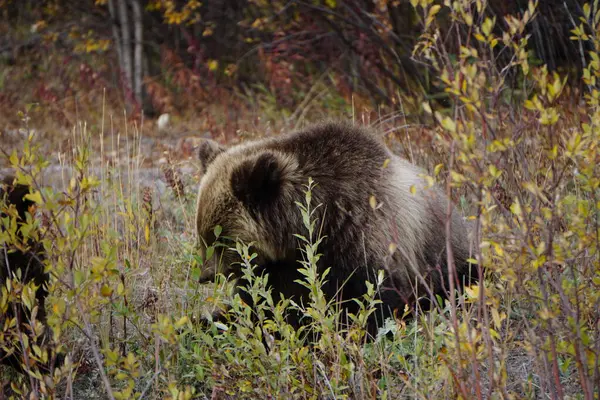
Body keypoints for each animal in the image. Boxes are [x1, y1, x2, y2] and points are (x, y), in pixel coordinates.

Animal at [195, 121, 476, 334]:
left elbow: (373, 305)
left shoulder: (365, 240)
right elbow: (263, 303)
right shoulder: (283, 267)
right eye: (202, 235)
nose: (205, 275)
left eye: (220, 239)